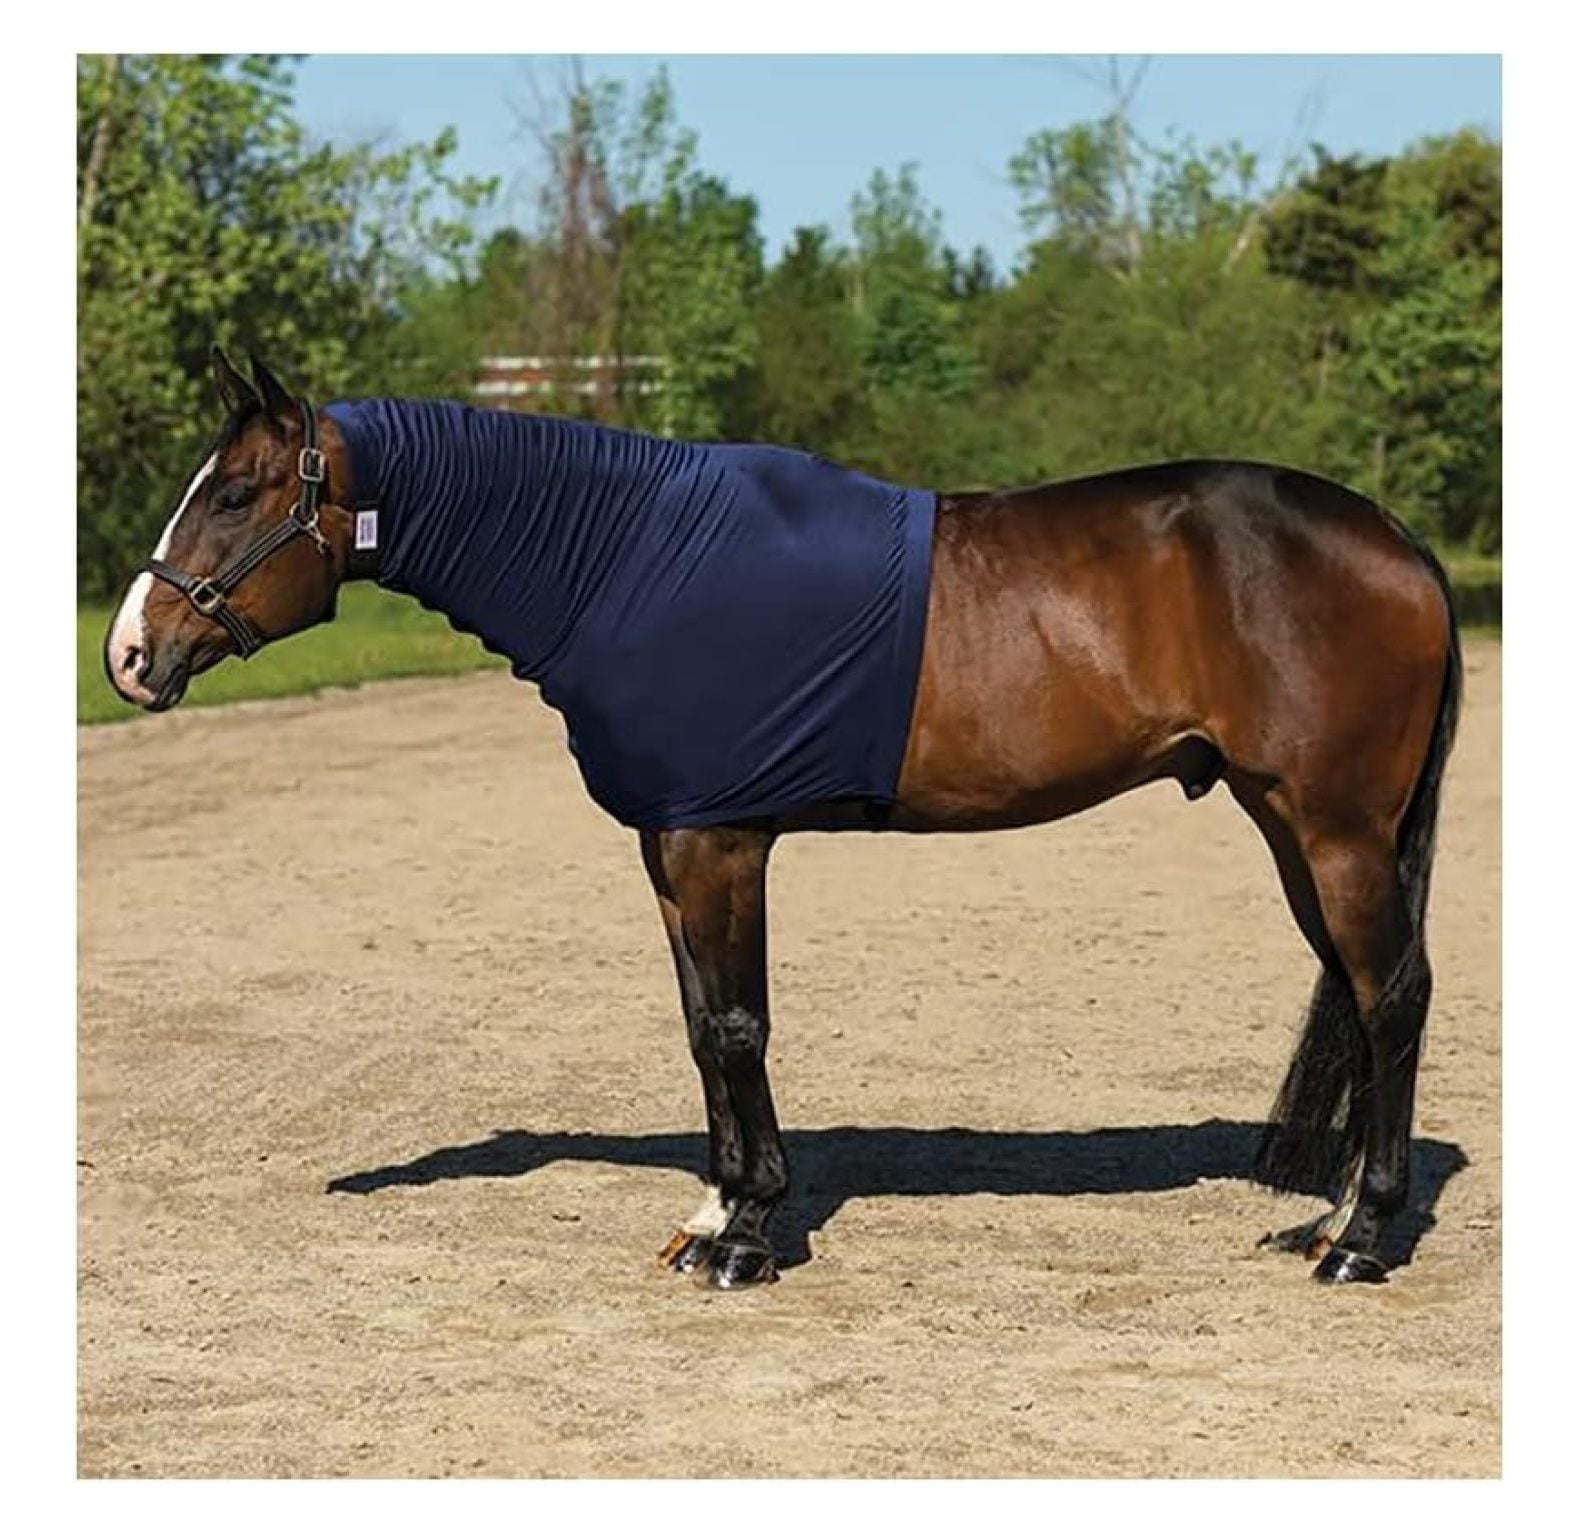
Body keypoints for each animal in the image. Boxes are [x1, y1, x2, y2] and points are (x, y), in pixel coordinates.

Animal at [103, 349, 1461, 1291]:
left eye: (236, 494)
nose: (127, 655)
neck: (625, 559)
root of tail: (1396, 541)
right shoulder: (670, 842)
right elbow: (701, 1026)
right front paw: (712, 1212)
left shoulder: (721, 840)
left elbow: (739, 1025)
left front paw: (748, 1235)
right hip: (1290, 827)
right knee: (1361, 993)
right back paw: (1323, 1219)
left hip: (1334, 831)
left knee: (1392, 996)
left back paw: (1361, 1238)